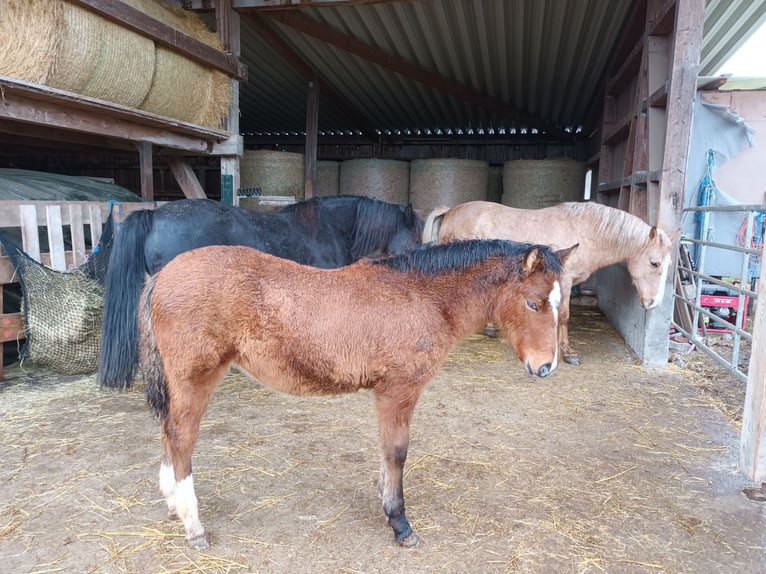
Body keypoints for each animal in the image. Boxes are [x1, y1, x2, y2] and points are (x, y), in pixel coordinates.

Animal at [138, 241, 576, 552]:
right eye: (533, 302)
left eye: (561, 304)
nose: (546, 367)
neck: (422, 296)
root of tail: (161, 274)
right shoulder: (398, 391)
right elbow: (397, 452)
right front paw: (400, 524)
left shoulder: (387, 393)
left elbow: (385, 452)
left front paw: (385, 500)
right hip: (196, 378)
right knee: (181, 438)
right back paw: (193, 526)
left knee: (168, 430)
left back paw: (172, 504)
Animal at [424, 201, 680, 364]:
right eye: (654, 263)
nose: (653, 303)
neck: (586, 232)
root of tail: (450, 211)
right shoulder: (564, 280)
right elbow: (564, 315)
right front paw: (567, 351)